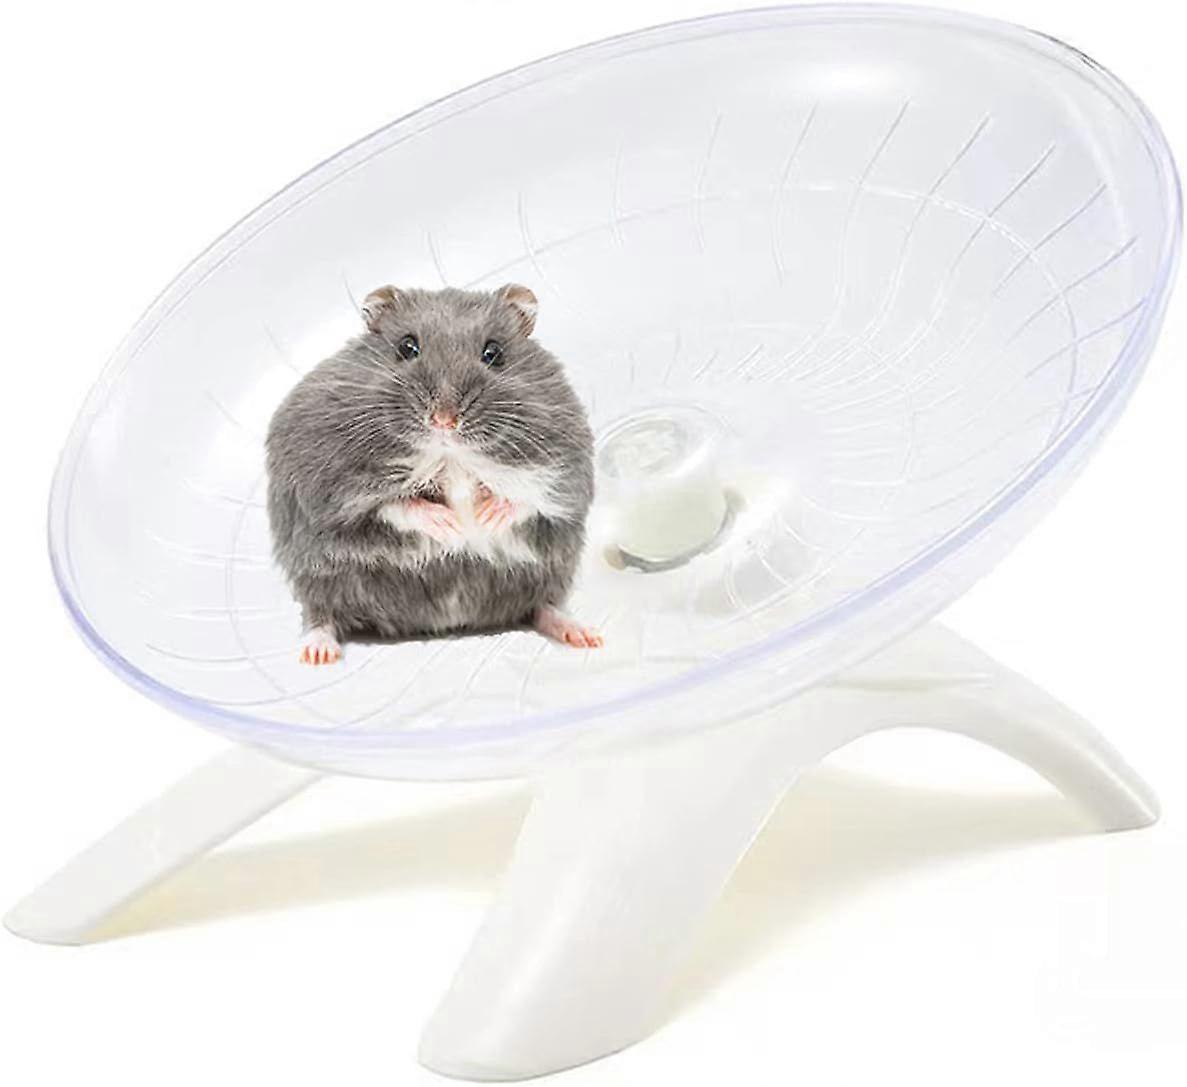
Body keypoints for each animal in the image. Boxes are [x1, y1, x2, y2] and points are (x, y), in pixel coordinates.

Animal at [266, 283, 601, 664]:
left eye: (494, 353)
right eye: (406, 347)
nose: (444, 420)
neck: (450, 455)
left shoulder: (569, 468)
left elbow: (534, 497)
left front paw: (485, 517)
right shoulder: (328, 482)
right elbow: (393, 505)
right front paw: (452, 526)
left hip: (549, 575)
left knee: (544, 604)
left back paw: (584, 635)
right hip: (318, 574)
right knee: (320, 613)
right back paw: (318, 653)